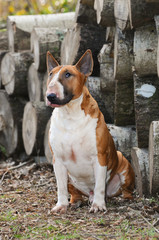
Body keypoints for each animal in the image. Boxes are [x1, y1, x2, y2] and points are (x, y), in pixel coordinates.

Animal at [45, 49, 135, 214]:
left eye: (68, 74)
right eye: (50, 74)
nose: (50, 96)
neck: (70, 114)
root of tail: (89, 193)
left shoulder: (99, 157)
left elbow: (99, 185)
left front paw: (98, 205)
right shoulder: (58, 160)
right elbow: (61, 187)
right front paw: (61, 205)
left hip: (123, 164)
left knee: (125, 190)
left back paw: (123, 199)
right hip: (71, 179)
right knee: (74, 192)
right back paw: (75, 201)